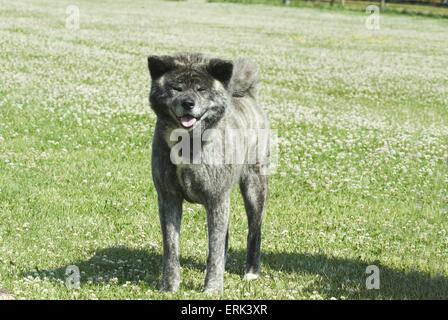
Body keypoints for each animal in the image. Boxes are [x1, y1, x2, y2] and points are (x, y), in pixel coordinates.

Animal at [148, 53, 270, 296]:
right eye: (176, 88)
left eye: (201, 89)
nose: (188, 103)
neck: (188, 143)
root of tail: (247, 94)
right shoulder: (169, 199)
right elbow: (171, 248)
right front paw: (169, 287)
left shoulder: (216, 199)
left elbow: (214, 248)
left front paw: (213, 288)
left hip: (254, 187)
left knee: (254, 231)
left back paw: (251, 272)